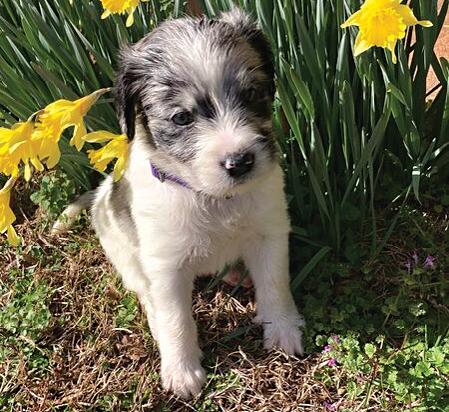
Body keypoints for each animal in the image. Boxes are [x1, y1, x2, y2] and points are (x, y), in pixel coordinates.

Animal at [53, 8, 304, 399]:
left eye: (251, 95)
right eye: (182, 117)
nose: (240, 162)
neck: (212, 198)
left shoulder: (270, 232)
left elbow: (275, 284)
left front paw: (282, 329)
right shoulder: (165, 265)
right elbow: (175, 319)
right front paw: (182, 371)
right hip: (124, 254)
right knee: (146, 294)